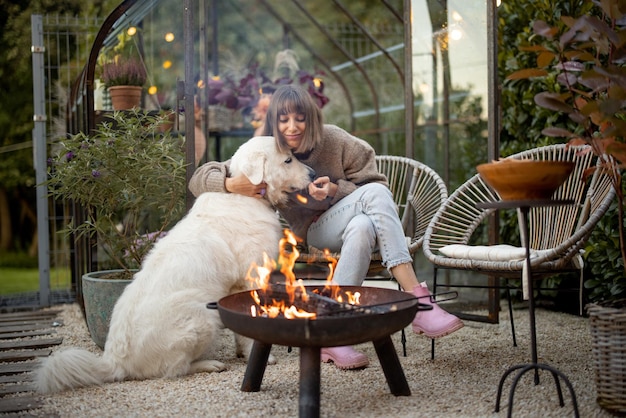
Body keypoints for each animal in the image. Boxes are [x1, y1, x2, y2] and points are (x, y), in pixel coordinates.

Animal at [36, 136, 314, 392]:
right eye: (288, 160)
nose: (313, 173)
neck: (246, 197)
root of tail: (114, 360)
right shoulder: (251, 278)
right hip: (203, 316)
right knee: (173, 370)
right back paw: (209, 364)